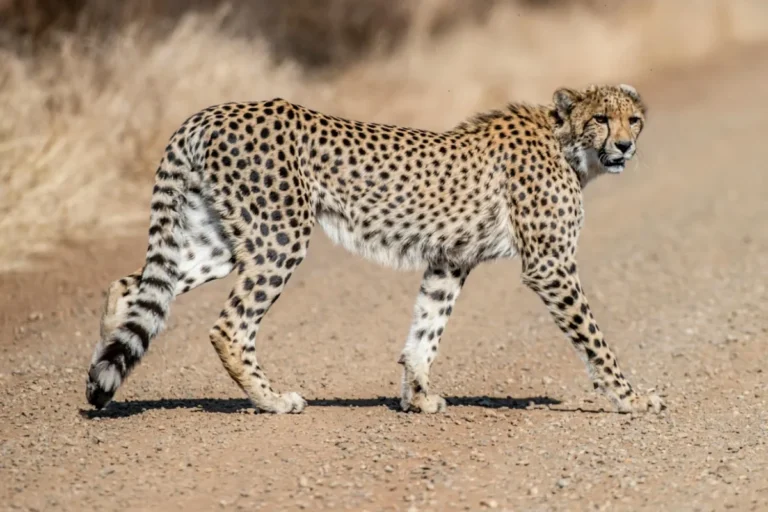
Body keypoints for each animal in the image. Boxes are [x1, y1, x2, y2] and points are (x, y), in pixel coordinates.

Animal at [85, 83, 665, 416]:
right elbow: (596, 341)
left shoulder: (449, 259)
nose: (624, 145)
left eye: (633, 119)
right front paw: (631, 397)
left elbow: (426, 329)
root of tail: (213, 111)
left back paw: (100, 370)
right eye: (601, 119)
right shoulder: (550, 267)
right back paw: (271, 400)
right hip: (280, 235)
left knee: (135, 285)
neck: (569, 147)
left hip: (226, 237)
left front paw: (418, 395)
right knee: (229, 325)